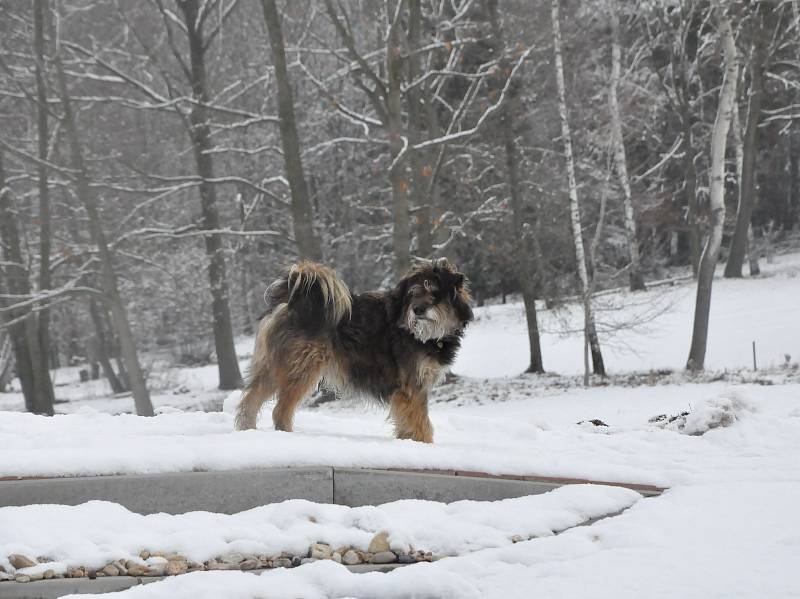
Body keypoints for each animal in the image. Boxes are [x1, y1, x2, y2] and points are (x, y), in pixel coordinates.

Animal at [236, 258, 476, 446]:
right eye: (413, 293)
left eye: (435, 292)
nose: (417, 310)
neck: (421, 334)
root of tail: (292, 301)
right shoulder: (413, 387)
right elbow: (420, 421)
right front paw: (423, 445)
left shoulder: (408, 391)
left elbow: (407, 421)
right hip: (302, 369)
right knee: (280, 410)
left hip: (273, 368)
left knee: (251, 400)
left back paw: (248, 431)